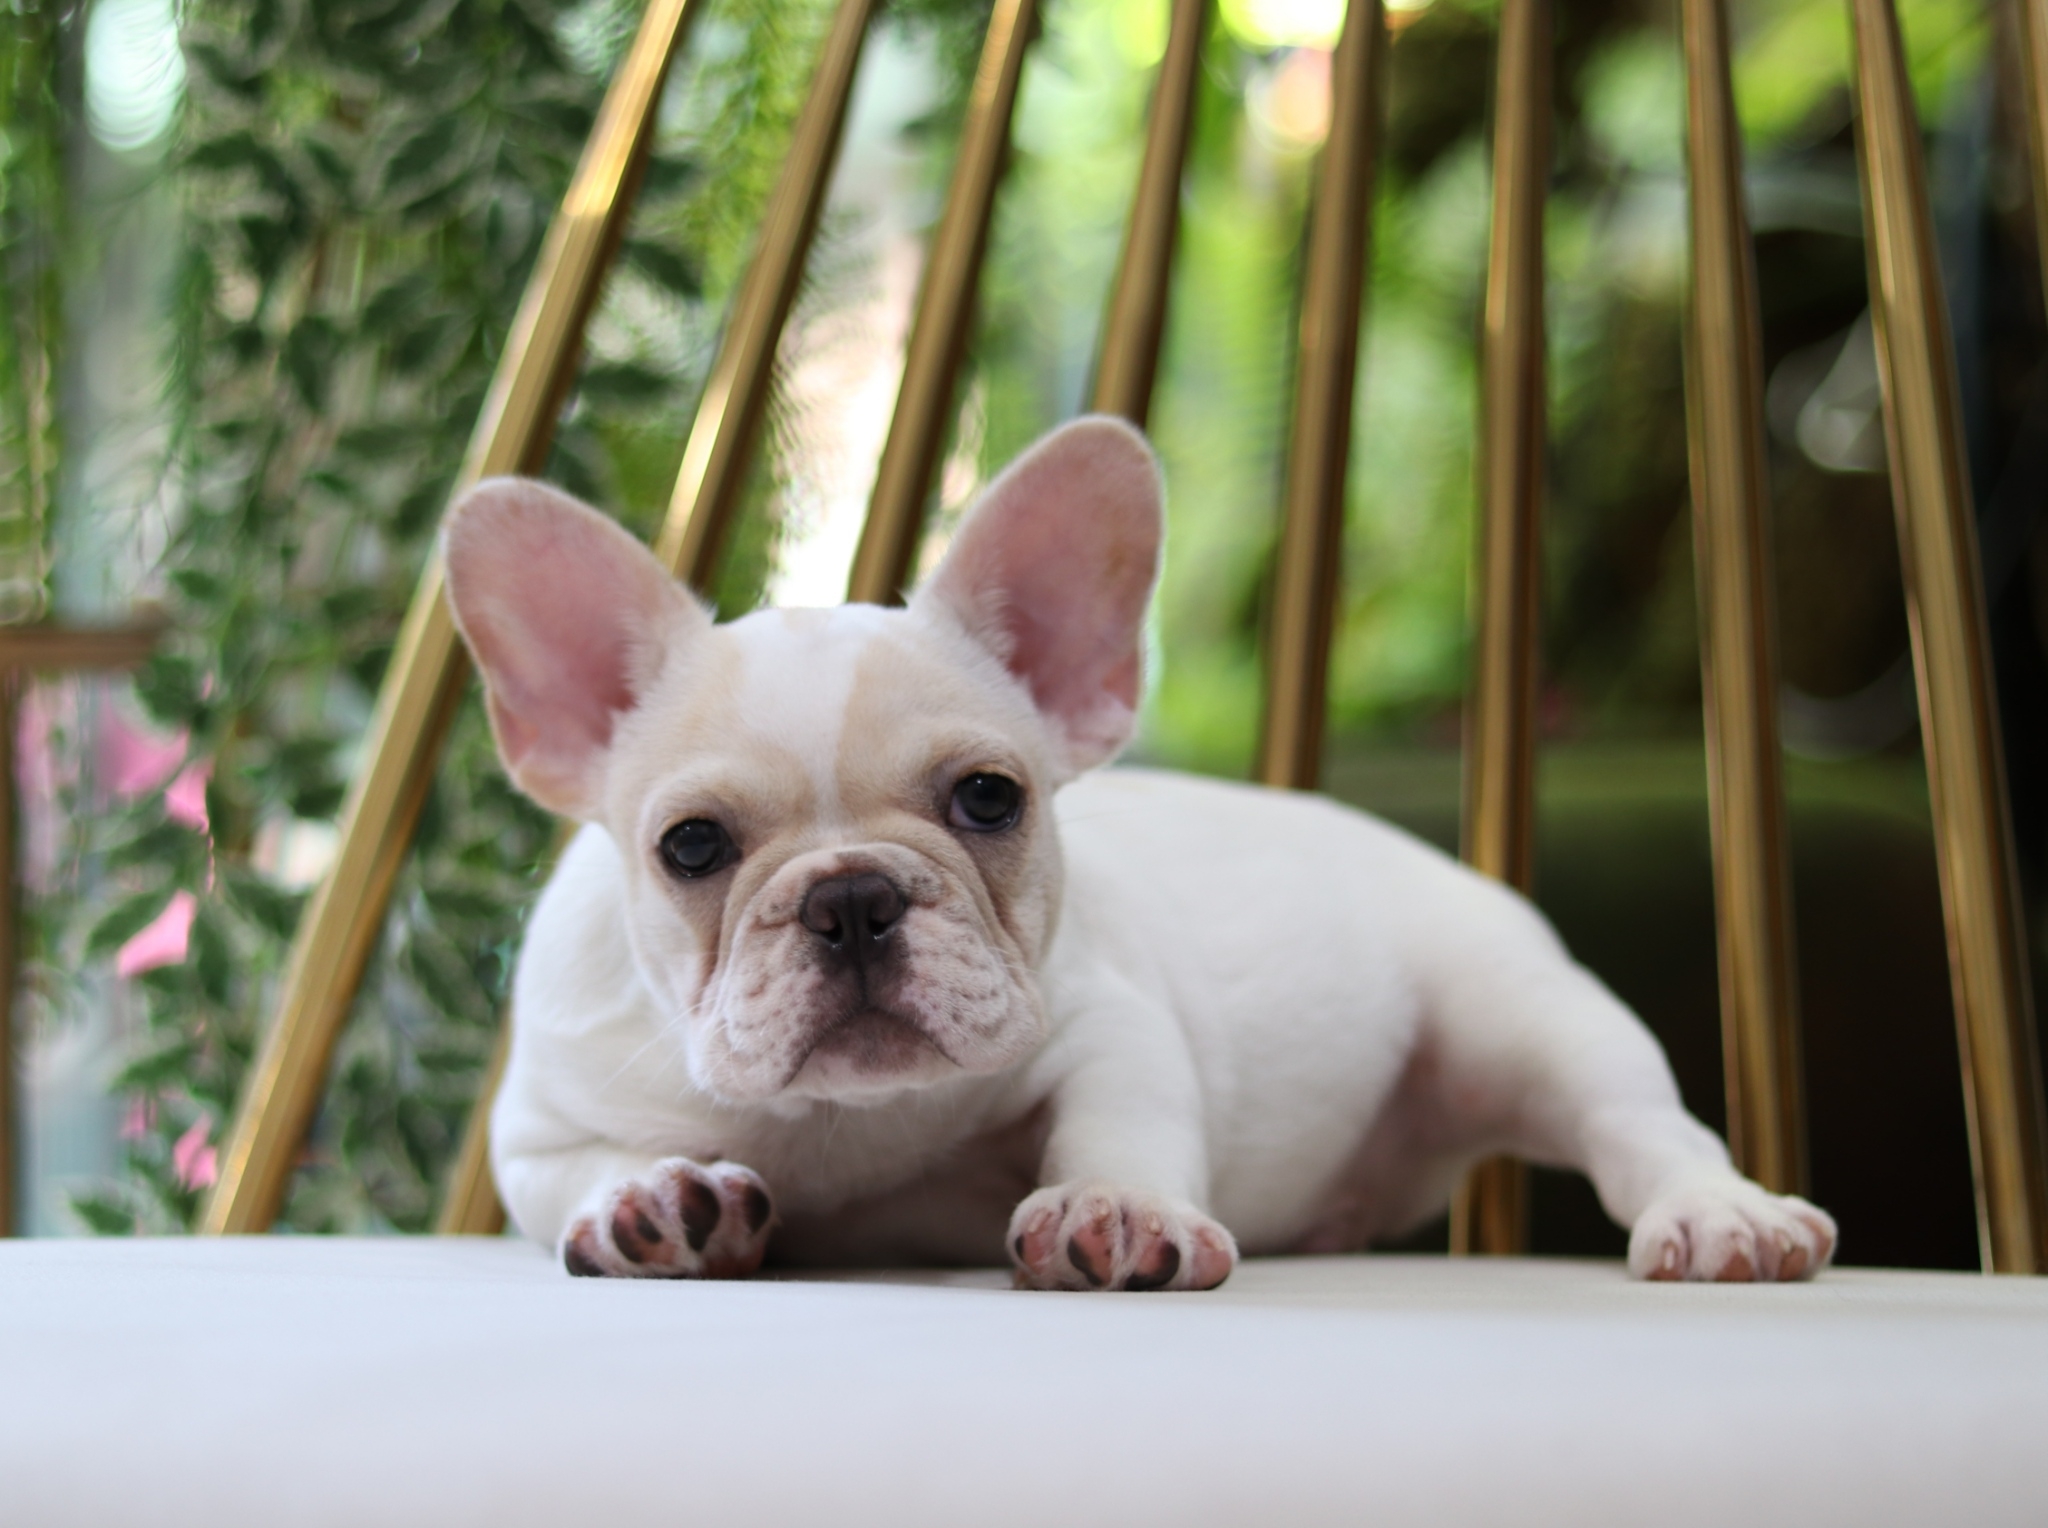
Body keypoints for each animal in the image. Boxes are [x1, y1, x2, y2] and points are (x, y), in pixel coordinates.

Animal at [442, 415, 1836, 1289]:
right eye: (690, 844)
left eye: (988, 800)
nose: (850, 897)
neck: (850, 1119)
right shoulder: (540, 1117)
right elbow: (576, 1171)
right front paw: (646, 1201)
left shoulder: (1104, 1021)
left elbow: (1117, 1118)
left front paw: (1110, 1210)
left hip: (1522, 1018)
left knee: (1632, 1119)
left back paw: (1720, 1215)